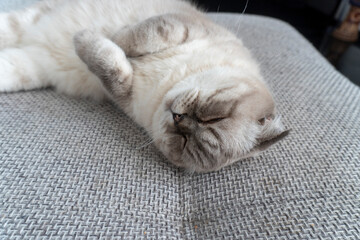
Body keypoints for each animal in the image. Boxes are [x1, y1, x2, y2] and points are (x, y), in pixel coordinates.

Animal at [0, 0, 288, 172]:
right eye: (214, 116)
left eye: (184, 142)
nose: (179, 119)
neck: (166, 84)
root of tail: (32, 39)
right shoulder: (179, 27)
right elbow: (131, 37)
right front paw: (93, 35)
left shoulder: (121, 92)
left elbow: (109, 64)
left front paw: (85, 40)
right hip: (26, 22)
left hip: (27, 67)